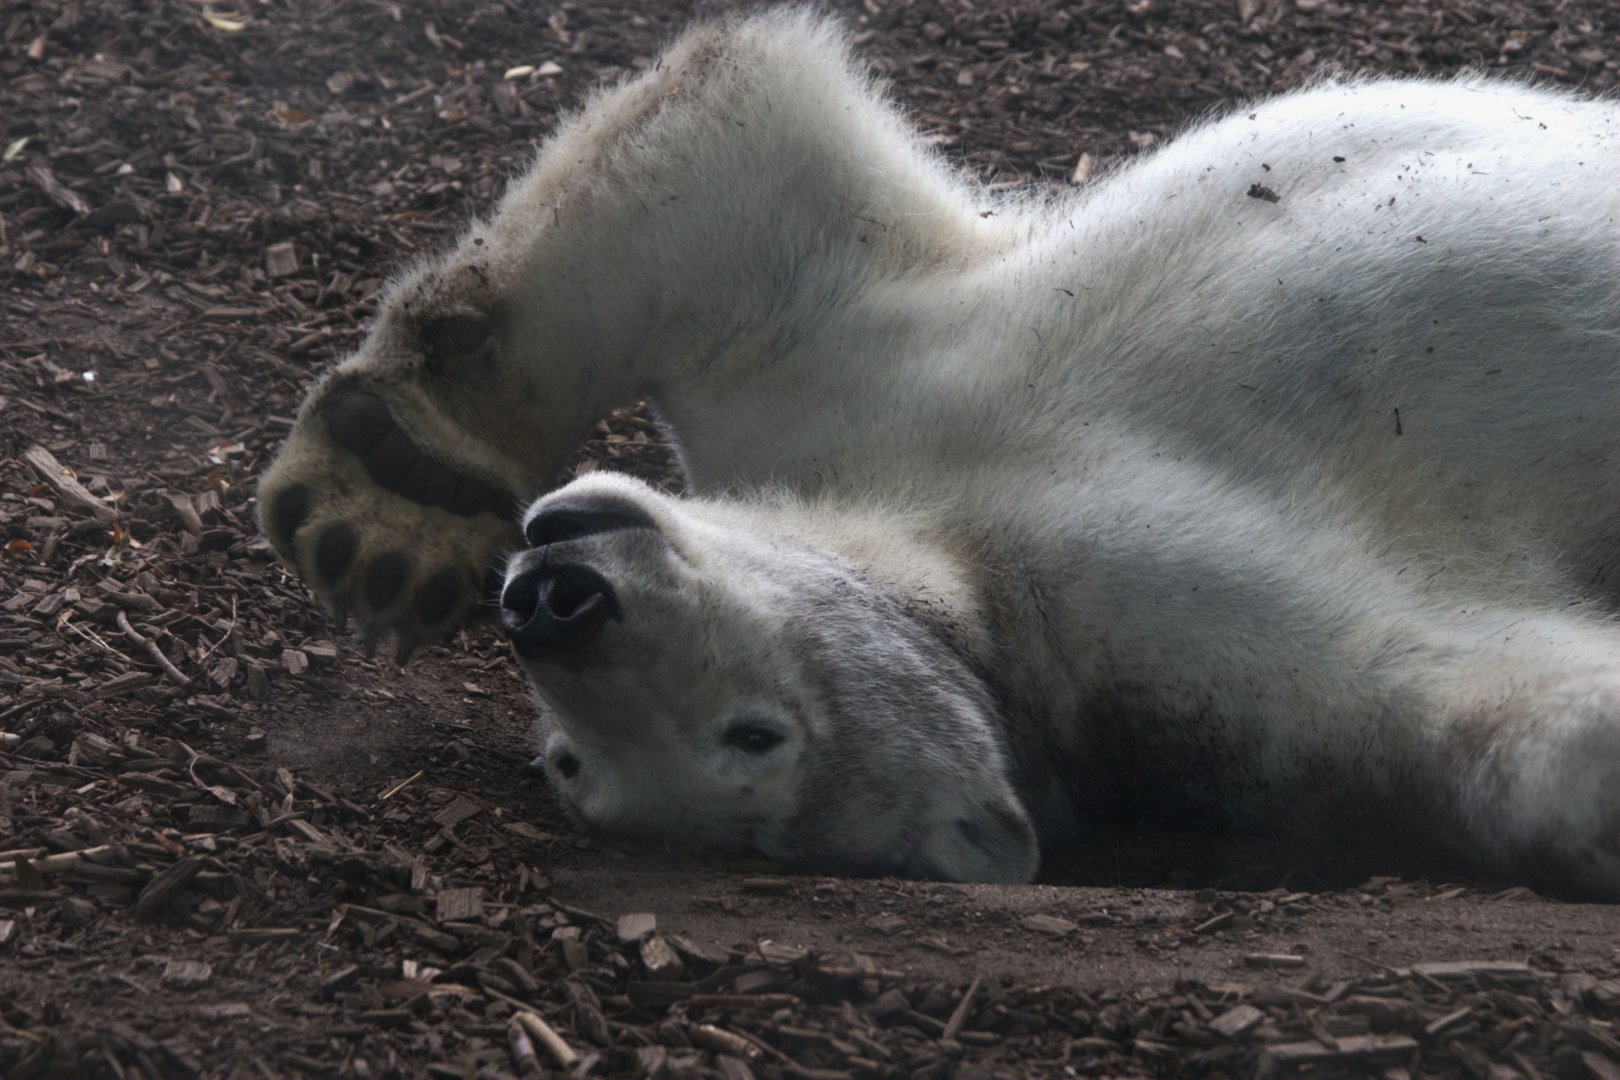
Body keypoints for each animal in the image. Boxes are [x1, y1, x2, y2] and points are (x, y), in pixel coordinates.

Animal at [257, 10, 1620, 893]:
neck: (946, 530)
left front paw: (385, 490)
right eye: (570, 760)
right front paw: (391, 513)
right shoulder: (1190, 636)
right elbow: (1495, 696)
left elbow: (732, 155)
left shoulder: (836, 373)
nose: (553, 599)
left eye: (757, 734)